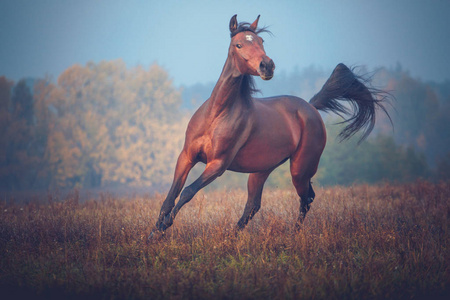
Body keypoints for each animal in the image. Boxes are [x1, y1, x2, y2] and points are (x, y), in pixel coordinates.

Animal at [149, 14, 388, 239]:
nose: (267, 66)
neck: (216, 116)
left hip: (300, 169)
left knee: (306, 198)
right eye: (239, 44)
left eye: (261, 41)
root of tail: (310, 107)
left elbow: (188, 192)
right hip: (261, 170)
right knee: (254, 205)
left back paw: (293, 235)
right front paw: (153, 234)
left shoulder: (217, 164)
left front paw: (163, 227)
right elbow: (171, 196)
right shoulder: (186, 156)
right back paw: (232, 237)